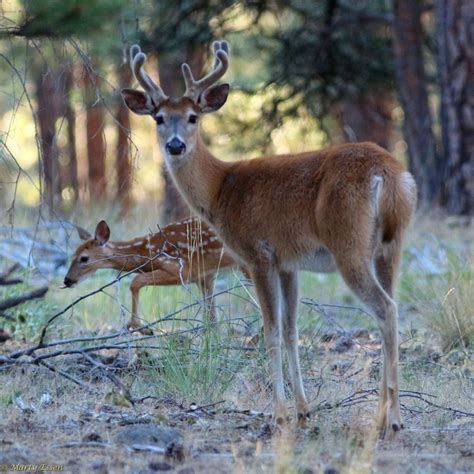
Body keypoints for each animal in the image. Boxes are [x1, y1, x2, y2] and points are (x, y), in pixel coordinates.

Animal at [64, 218, 237, 334]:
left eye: (84, 258)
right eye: (72, 255)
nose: (67, 280)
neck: (147, 251)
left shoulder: (182, 269)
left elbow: (136, 280)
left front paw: (139, 327)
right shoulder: (204, 276)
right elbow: (212, 319)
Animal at [121, 40, 414, 436]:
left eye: (193, 116)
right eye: (159, 118)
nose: (176, 146)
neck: (221, 190)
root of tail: (390, 174)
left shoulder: (257, 254)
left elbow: (271, 331)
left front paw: (278, 413)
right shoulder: (290, 263)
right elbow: (291, 331)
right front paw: (304, 411)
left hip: (348, 245)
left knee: (387, 309)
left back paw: (393, 419)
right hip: (390, 246)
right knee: (392, 309)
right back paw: (384, 416)